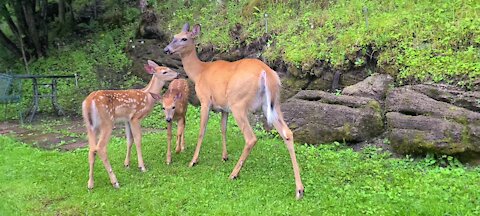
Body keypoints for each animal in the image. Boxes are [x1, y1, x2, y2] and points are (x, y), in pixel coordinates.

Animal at [82, 60, 178, 188]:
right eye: (165, 72)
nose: (178, 74)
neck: (147, 97)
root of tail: (89, 102)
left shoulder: (127, 119)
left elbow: (129, 140)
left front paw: (126, 164)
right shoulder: (135, 117)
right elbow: (138, 139)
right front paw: (142, 167)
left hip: (90, 126)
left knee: (92, 149)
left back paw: (90, 183)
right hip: (107, 122)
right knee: (100, 148)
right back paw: (115, 181)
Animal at [163, 23, 306, 199]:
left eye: (184, 38)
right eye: (174, 36)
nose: (167, 49)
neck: (199, 72)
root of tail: (266, 73)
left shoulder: (205, 100)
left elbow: (202, 131)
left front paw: (193, 161)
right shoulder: (224, 108)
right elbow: (223, 128)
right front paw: (224, 156)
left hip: (239, 103)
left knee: (251, 138)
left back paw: (234, 174)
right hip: (273, 104)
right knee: (287, 133)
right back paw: (299, 189)